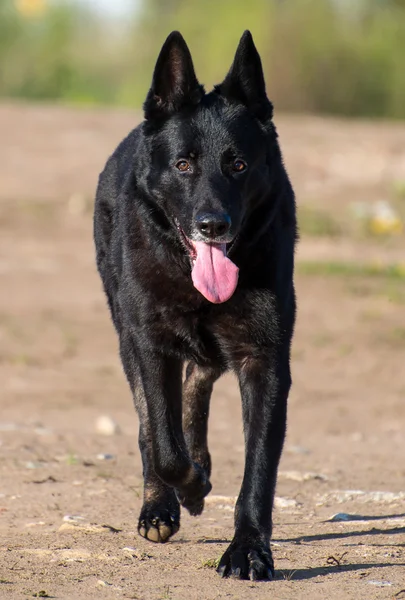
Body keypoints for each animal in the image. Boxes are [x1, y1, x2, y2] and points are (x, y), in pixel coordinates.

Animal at [94, 30, 296, 580]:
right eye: (183, 164)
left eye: (239, 165)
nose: (213, 225)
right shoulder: (150, 345)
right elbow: (163, 444)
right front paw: (187, 487)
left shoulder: (264, 360)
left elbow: (258, 470)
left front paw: (248, 549)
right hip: (127, 339)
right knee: (151, 425)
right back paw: (162, 503)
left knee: (199, 377)